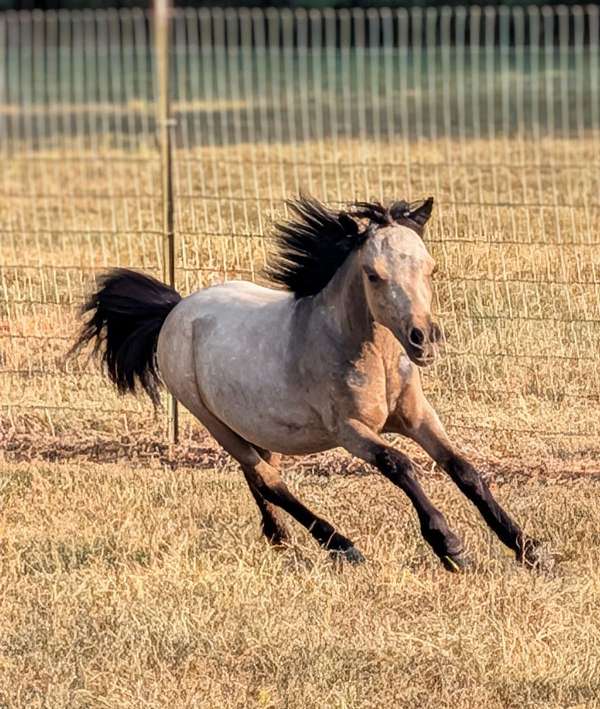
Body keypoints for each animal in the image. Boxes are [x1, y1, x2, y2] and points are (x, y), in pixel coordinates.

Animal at [71, 195, 545, 572]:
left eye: (431, 268)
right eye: (373, 274)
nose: (423, 340)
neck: (367, 355)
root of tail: (175, 309)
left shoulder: (416, 415)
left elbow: (464, 469)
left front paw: (529, 549)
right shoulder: (350, 430)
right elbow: (400, 465)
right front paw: (451, 547)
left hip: (257, 426)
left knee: (258, 477)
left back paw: (280, 538)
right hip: (215, 423)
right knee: (269, 481)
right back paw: (342, 546)